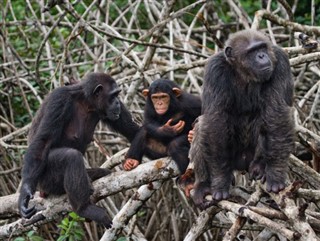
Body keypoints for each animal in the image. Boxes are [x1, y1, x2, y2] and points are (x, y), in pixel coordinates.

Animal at [18, 72, 139, 227]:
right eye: (113, 96)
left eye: (117, 94)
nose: (118, 102)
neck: (87, 103)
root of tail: (42, 191)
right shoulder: (60, 100)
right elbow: (43, 141)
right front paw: (25, 193)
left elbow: (132, 130)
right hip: (46, 182)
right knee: (71, 156)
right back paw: (84, 209)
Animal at [190, 29, 296, 208]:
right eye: (252, 51)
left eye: (262, 47)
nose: (261, 55)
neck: (244, 73)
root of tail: (243, 162)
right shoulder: (214, 70)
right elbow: (215, 120)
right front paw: (220, 181)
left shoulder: (281, 61)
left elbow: (276, 112)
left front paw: (275, 173)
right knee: (202, 126)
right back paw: (203, 184)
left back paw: (260, 165)